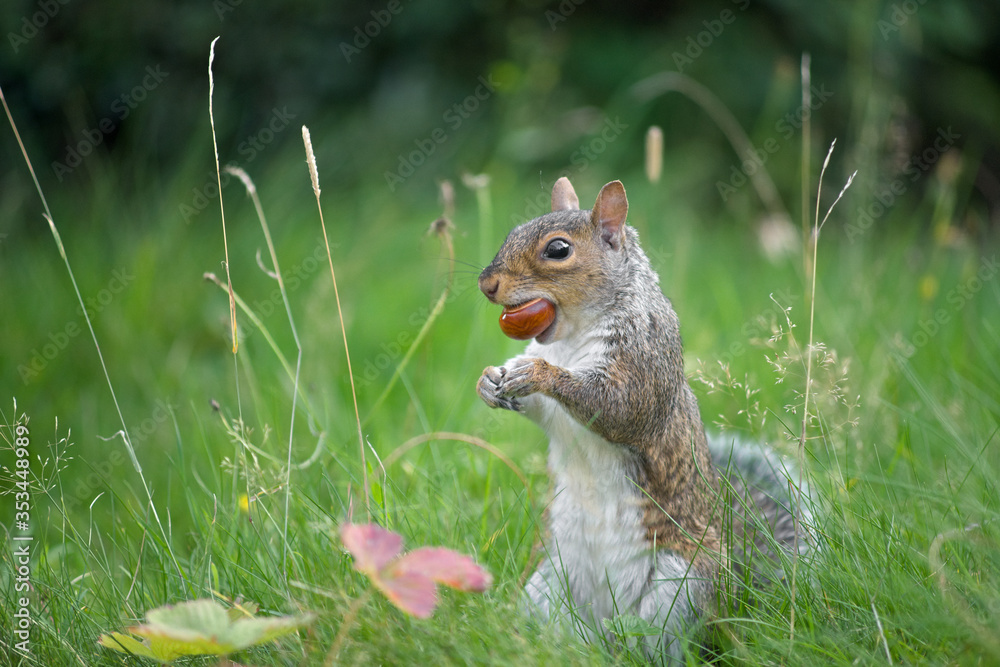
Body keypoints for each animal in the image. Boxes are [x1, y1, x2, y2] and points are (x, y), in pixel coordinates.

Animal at [477, 177, 810, 662]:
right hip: (547, 586)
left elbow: (619, 408)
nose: (486, 284)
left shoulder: (643, 360)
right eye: (513, 231)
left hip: (679, 590)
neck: (570, 335)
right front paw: (490, 381)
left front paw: (540, 374)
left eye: (558, 250)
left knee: (661, 645)